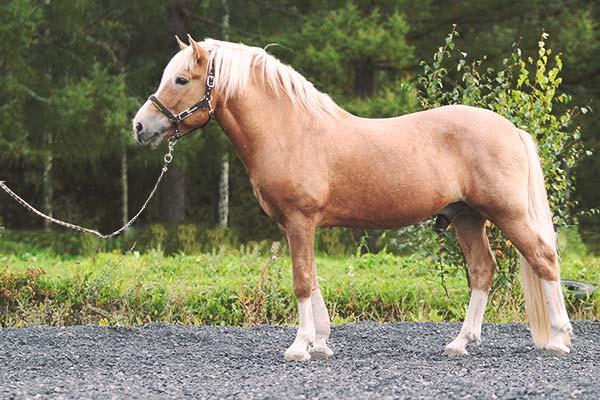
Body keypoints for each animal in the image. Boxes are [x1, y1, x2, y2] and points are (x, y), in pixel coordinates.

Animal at [134, 34, 576, 360]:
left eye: (180, 80)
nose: (141, 126)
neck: (289, 130)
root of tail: (512, 130)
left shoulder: (300, 220)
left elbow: (301, 280)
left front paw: (300, 347)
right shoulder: (296, 226)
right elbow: (312, 279)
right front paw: (321, 343)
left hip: (507, 212)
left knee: (544, 258)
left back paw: (558, 338)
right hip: (467, 217)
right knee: (483, 270)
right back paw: (459, 343)